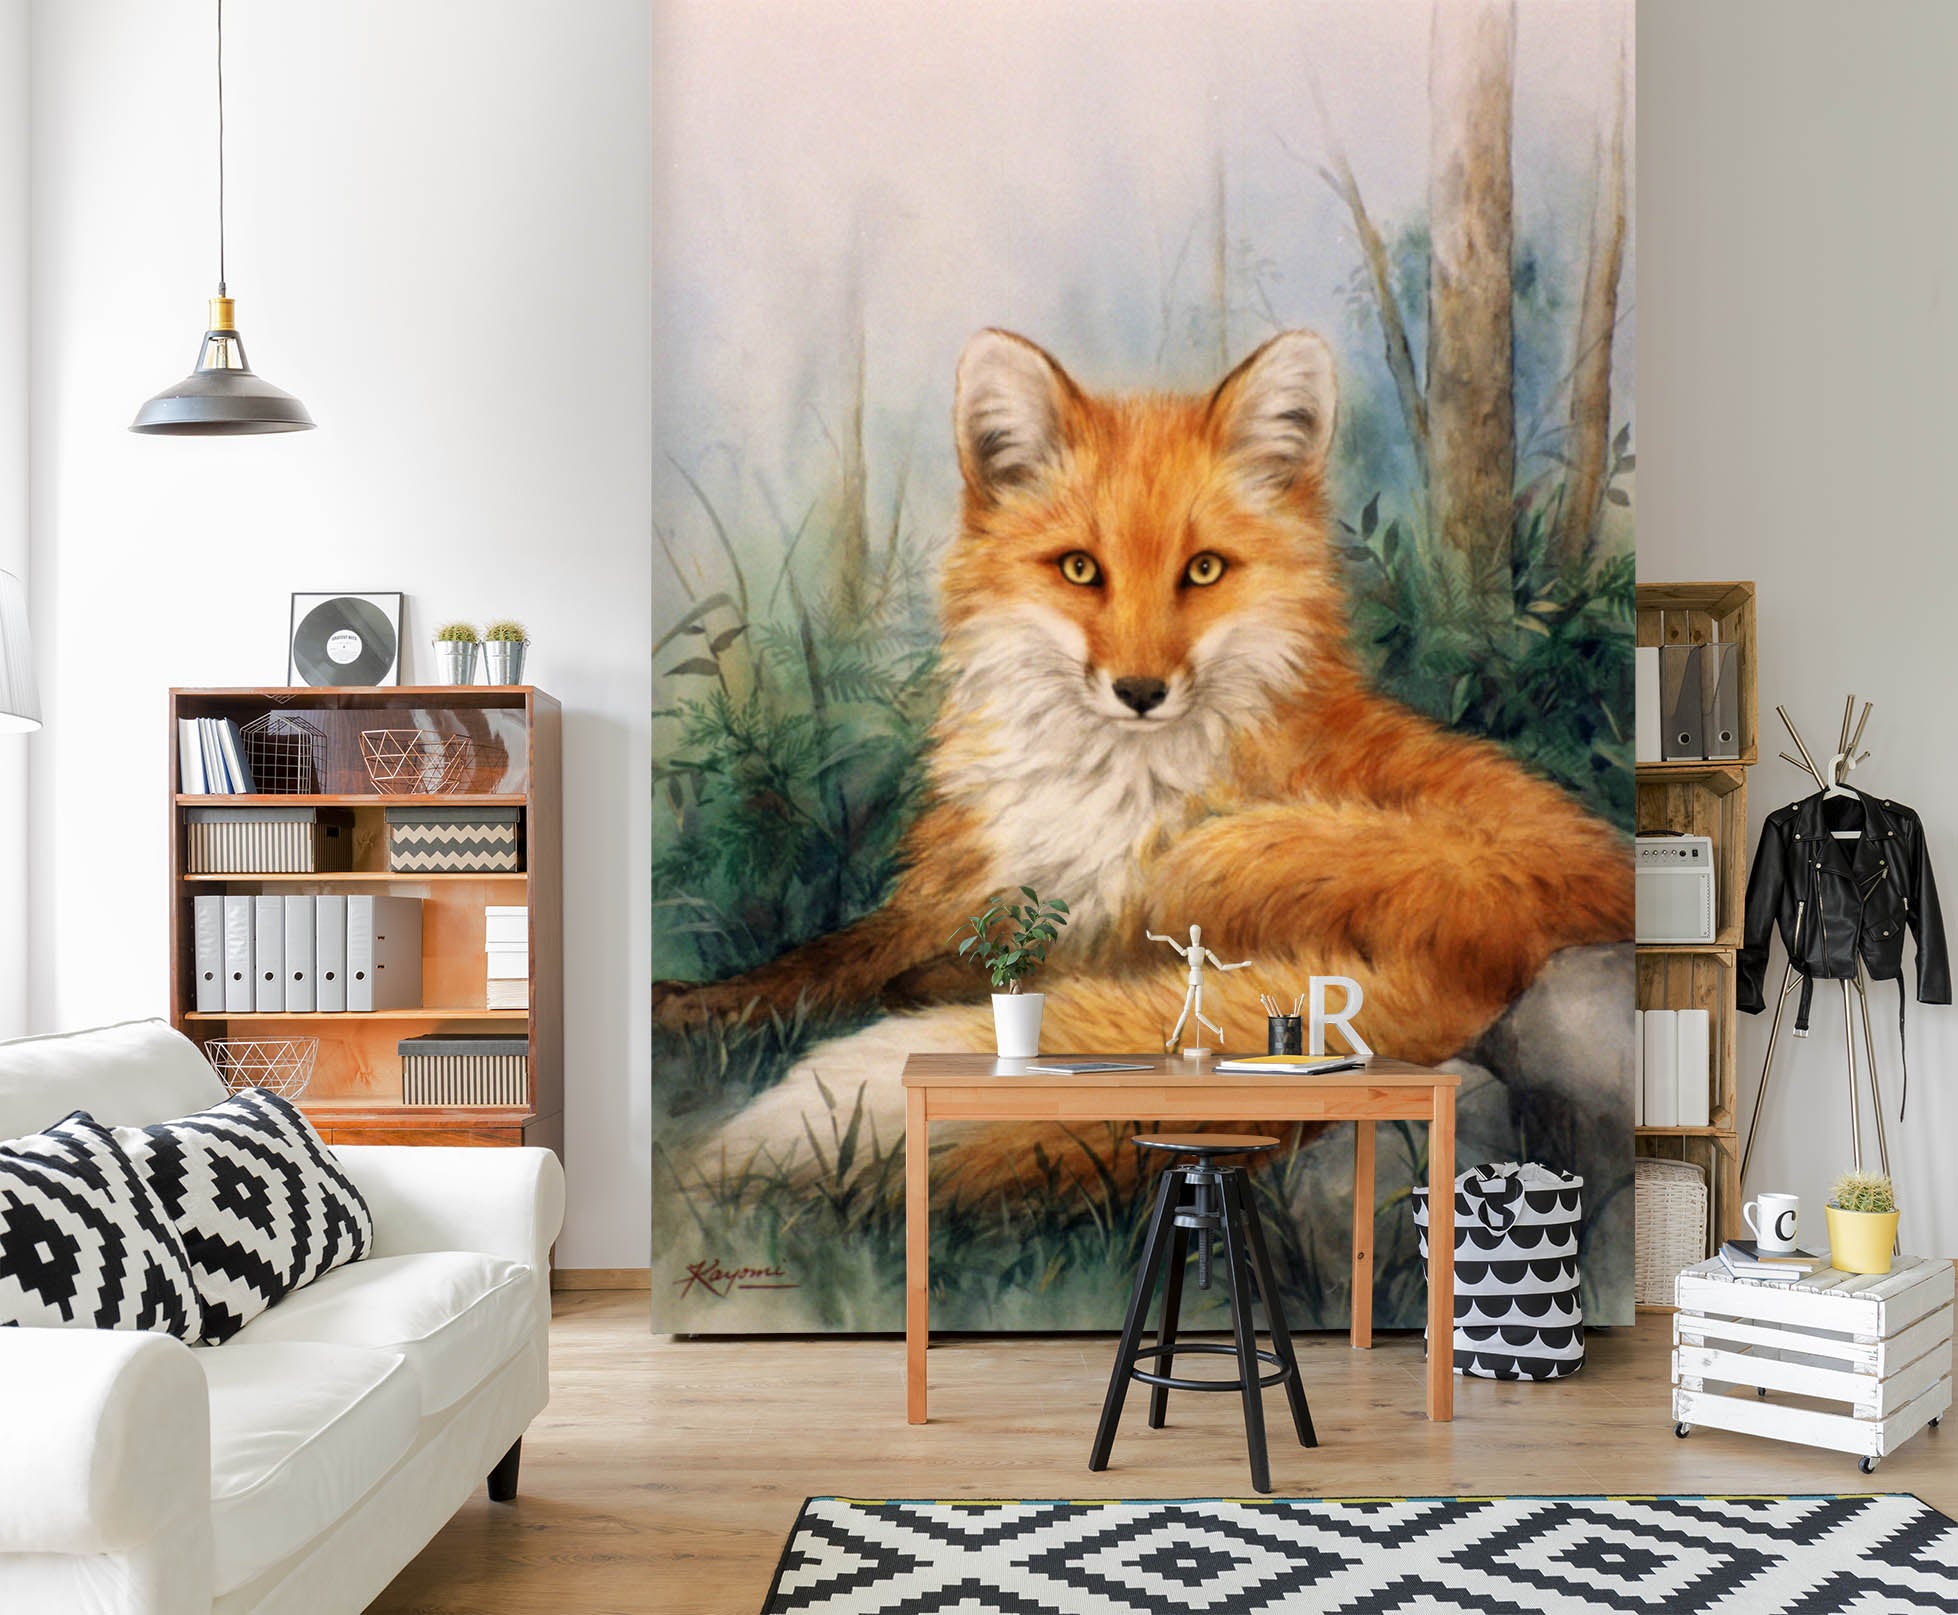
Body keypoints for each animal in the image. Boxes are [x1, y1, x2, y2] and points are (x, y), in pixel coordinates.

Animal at [655, 328, 1632, 1193]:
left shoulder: (1109, 912)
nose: (1139, 690)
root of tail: (1509, 962)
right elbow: (810, 965)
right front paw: (693, 1006)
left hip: (1227, 860)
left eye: (1203, 570)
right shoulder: (957, 891)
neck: (1100, 789)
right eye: (1080, 569)